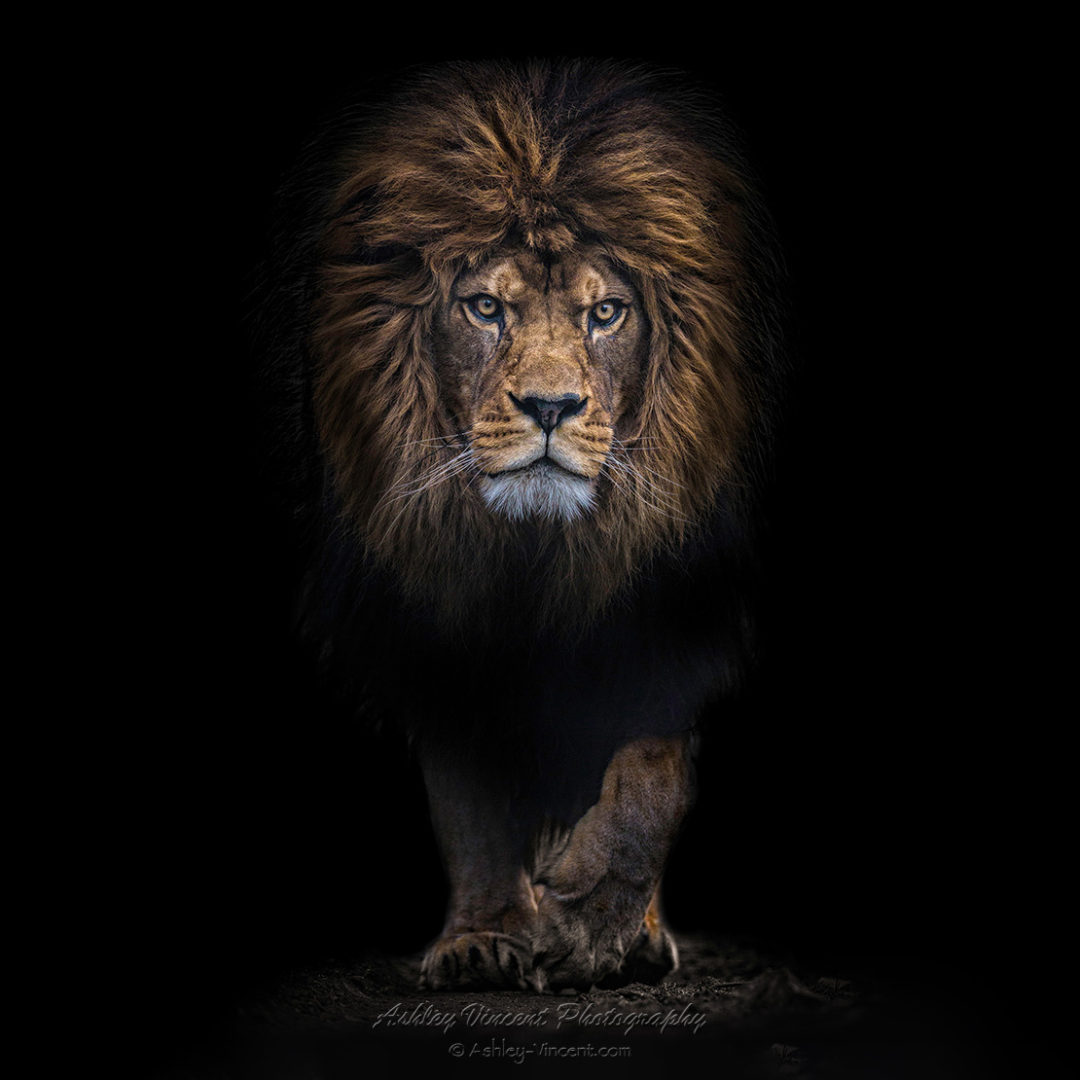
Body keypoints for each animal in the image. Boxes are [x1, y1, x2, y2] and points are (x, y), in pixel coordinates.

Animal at [262, 59, 782, 993]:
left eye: (606, 314)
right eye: (483, 309)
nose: (549, 406)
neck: (533, 554)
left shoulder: (677, 596)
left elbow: (650, 769)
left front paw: (586, 925)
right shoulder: (428, 619)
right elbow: (466, 801)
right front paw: (482, 938)